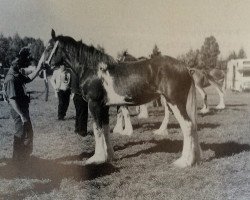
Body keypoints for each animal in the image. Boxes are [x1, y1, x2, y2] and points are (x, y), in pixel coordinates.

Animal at [43, 29, 201, 167]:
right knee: (192, 126)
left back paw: (184, 162)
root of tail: (185, 67)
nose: (44, 66)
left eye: (49, 47)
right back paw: (193, 160)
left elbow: (97, 129)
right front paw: (109, 156)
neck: (94, 70)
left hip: (175, 102)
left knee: (187, 126)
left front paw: (97, 158)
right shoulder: (104, 106)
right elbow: (105, 129)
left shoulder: (94, 104)